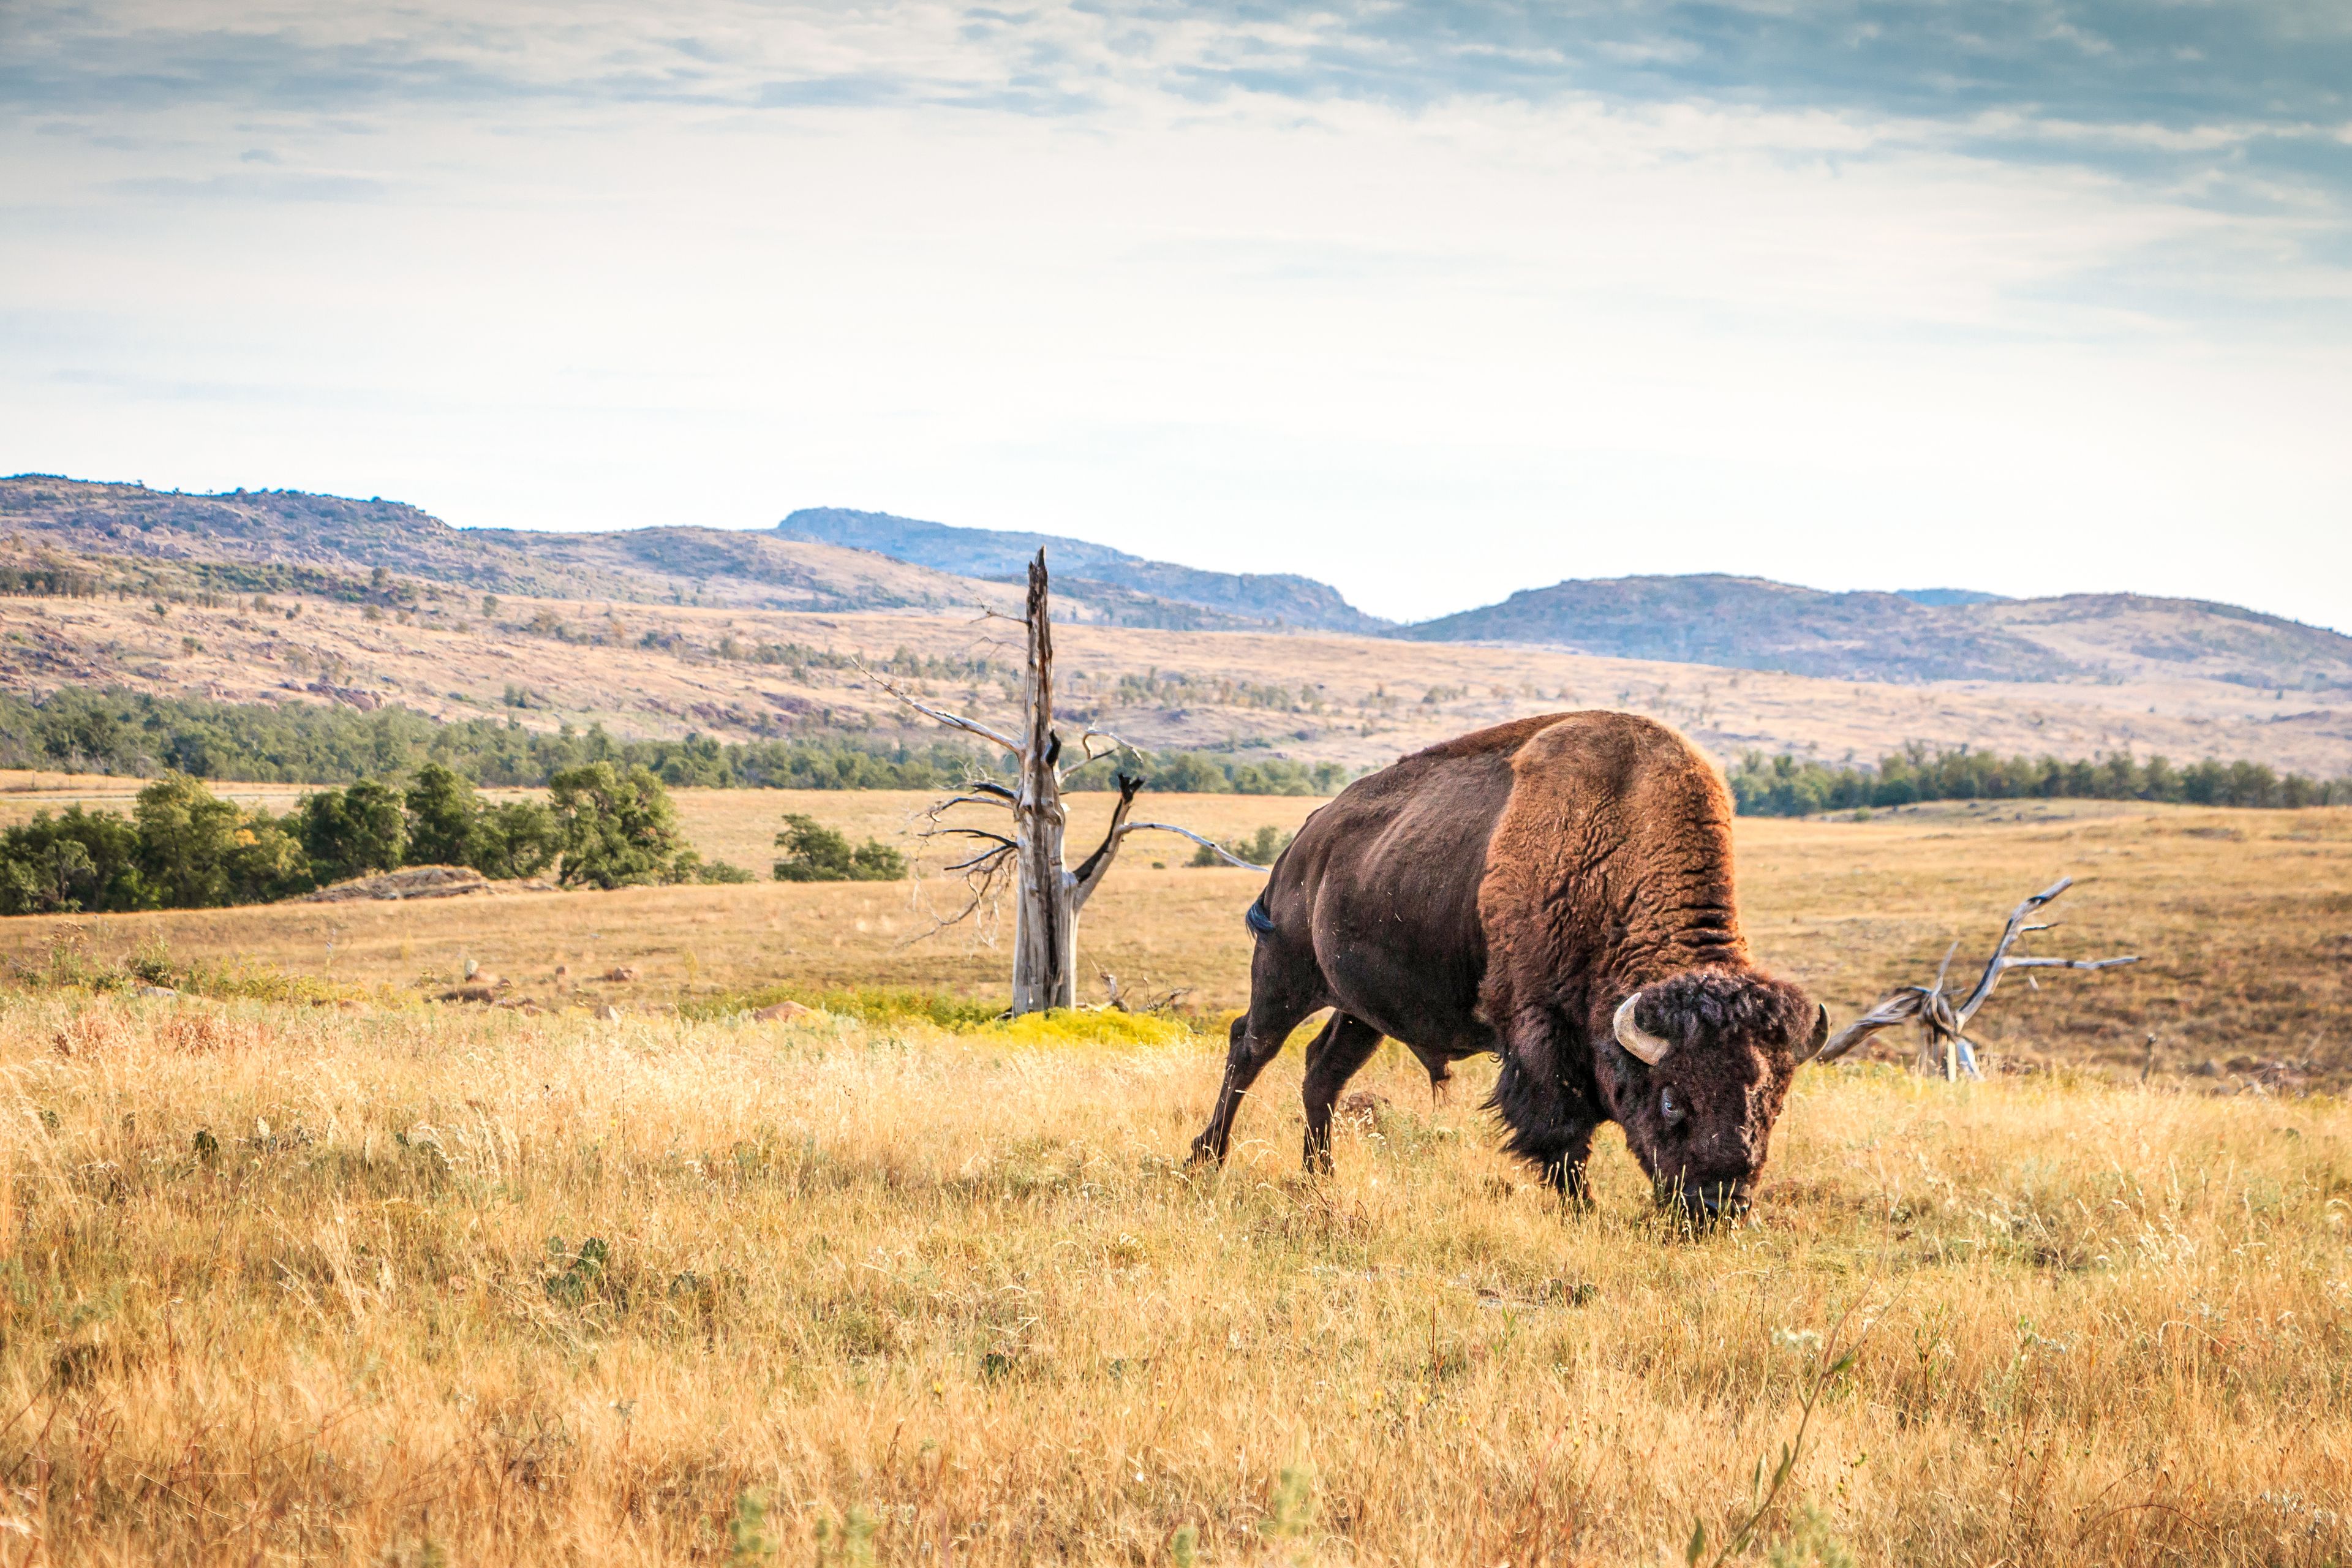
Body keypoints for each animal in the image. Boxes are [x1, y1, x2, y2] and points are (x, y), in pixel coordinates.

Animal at [1190, 711, 1827, 1220]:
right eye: (1672, 1098)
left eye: (1774, 1099)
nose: (1720, 1205)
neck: (1614, 854)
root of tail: (1304, 841)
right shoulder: (1539, 1031)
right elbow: (1561, 1132)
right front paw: (1584, 1210)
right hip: (1284, 973)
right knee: (1249, 1048)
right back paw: (1206, 1159)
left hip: (1361, 1010)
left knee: (1323, 1070)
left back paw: (1319, 1177)